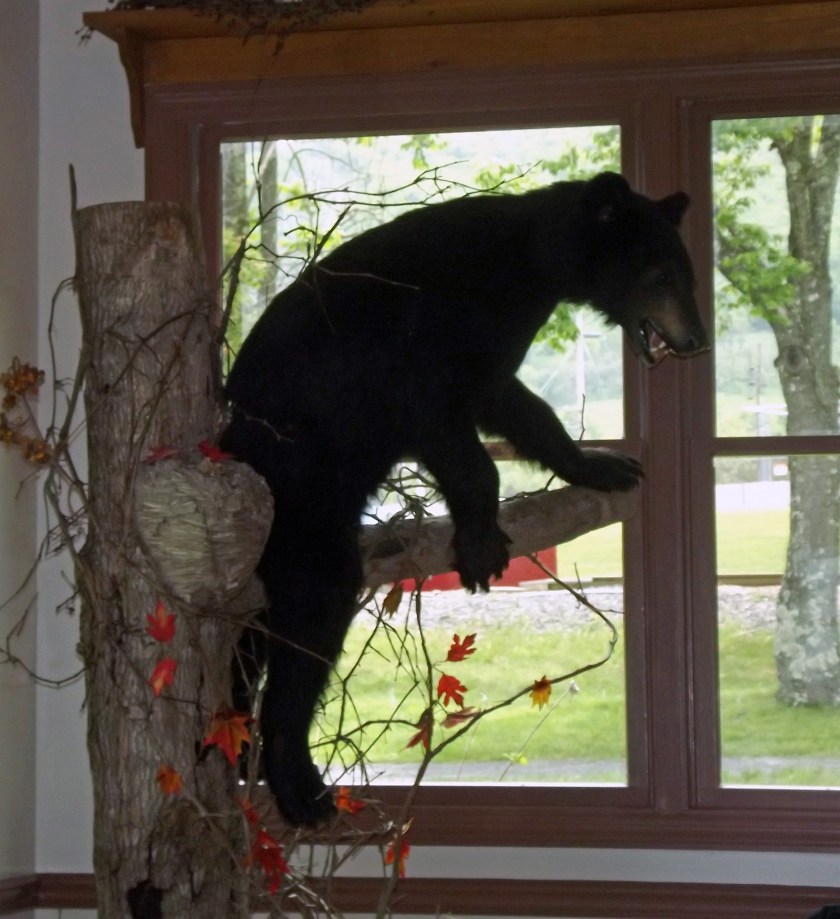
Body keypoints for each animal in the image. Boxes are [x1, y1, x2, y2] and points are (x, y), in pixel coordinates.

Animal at [220, 171, 709, 826]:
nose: (697, 338)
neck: (529, 262)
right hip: (297, 491)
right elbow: (454, 434)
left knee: (249, 647)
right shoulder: (434, 336)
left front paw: (600, 464)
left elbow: (517, 405)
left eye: (685, 272)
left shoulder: (495, 348)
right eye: (658, 272)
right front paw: (480, 544)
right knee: (311, 610)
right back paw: (300, 784)